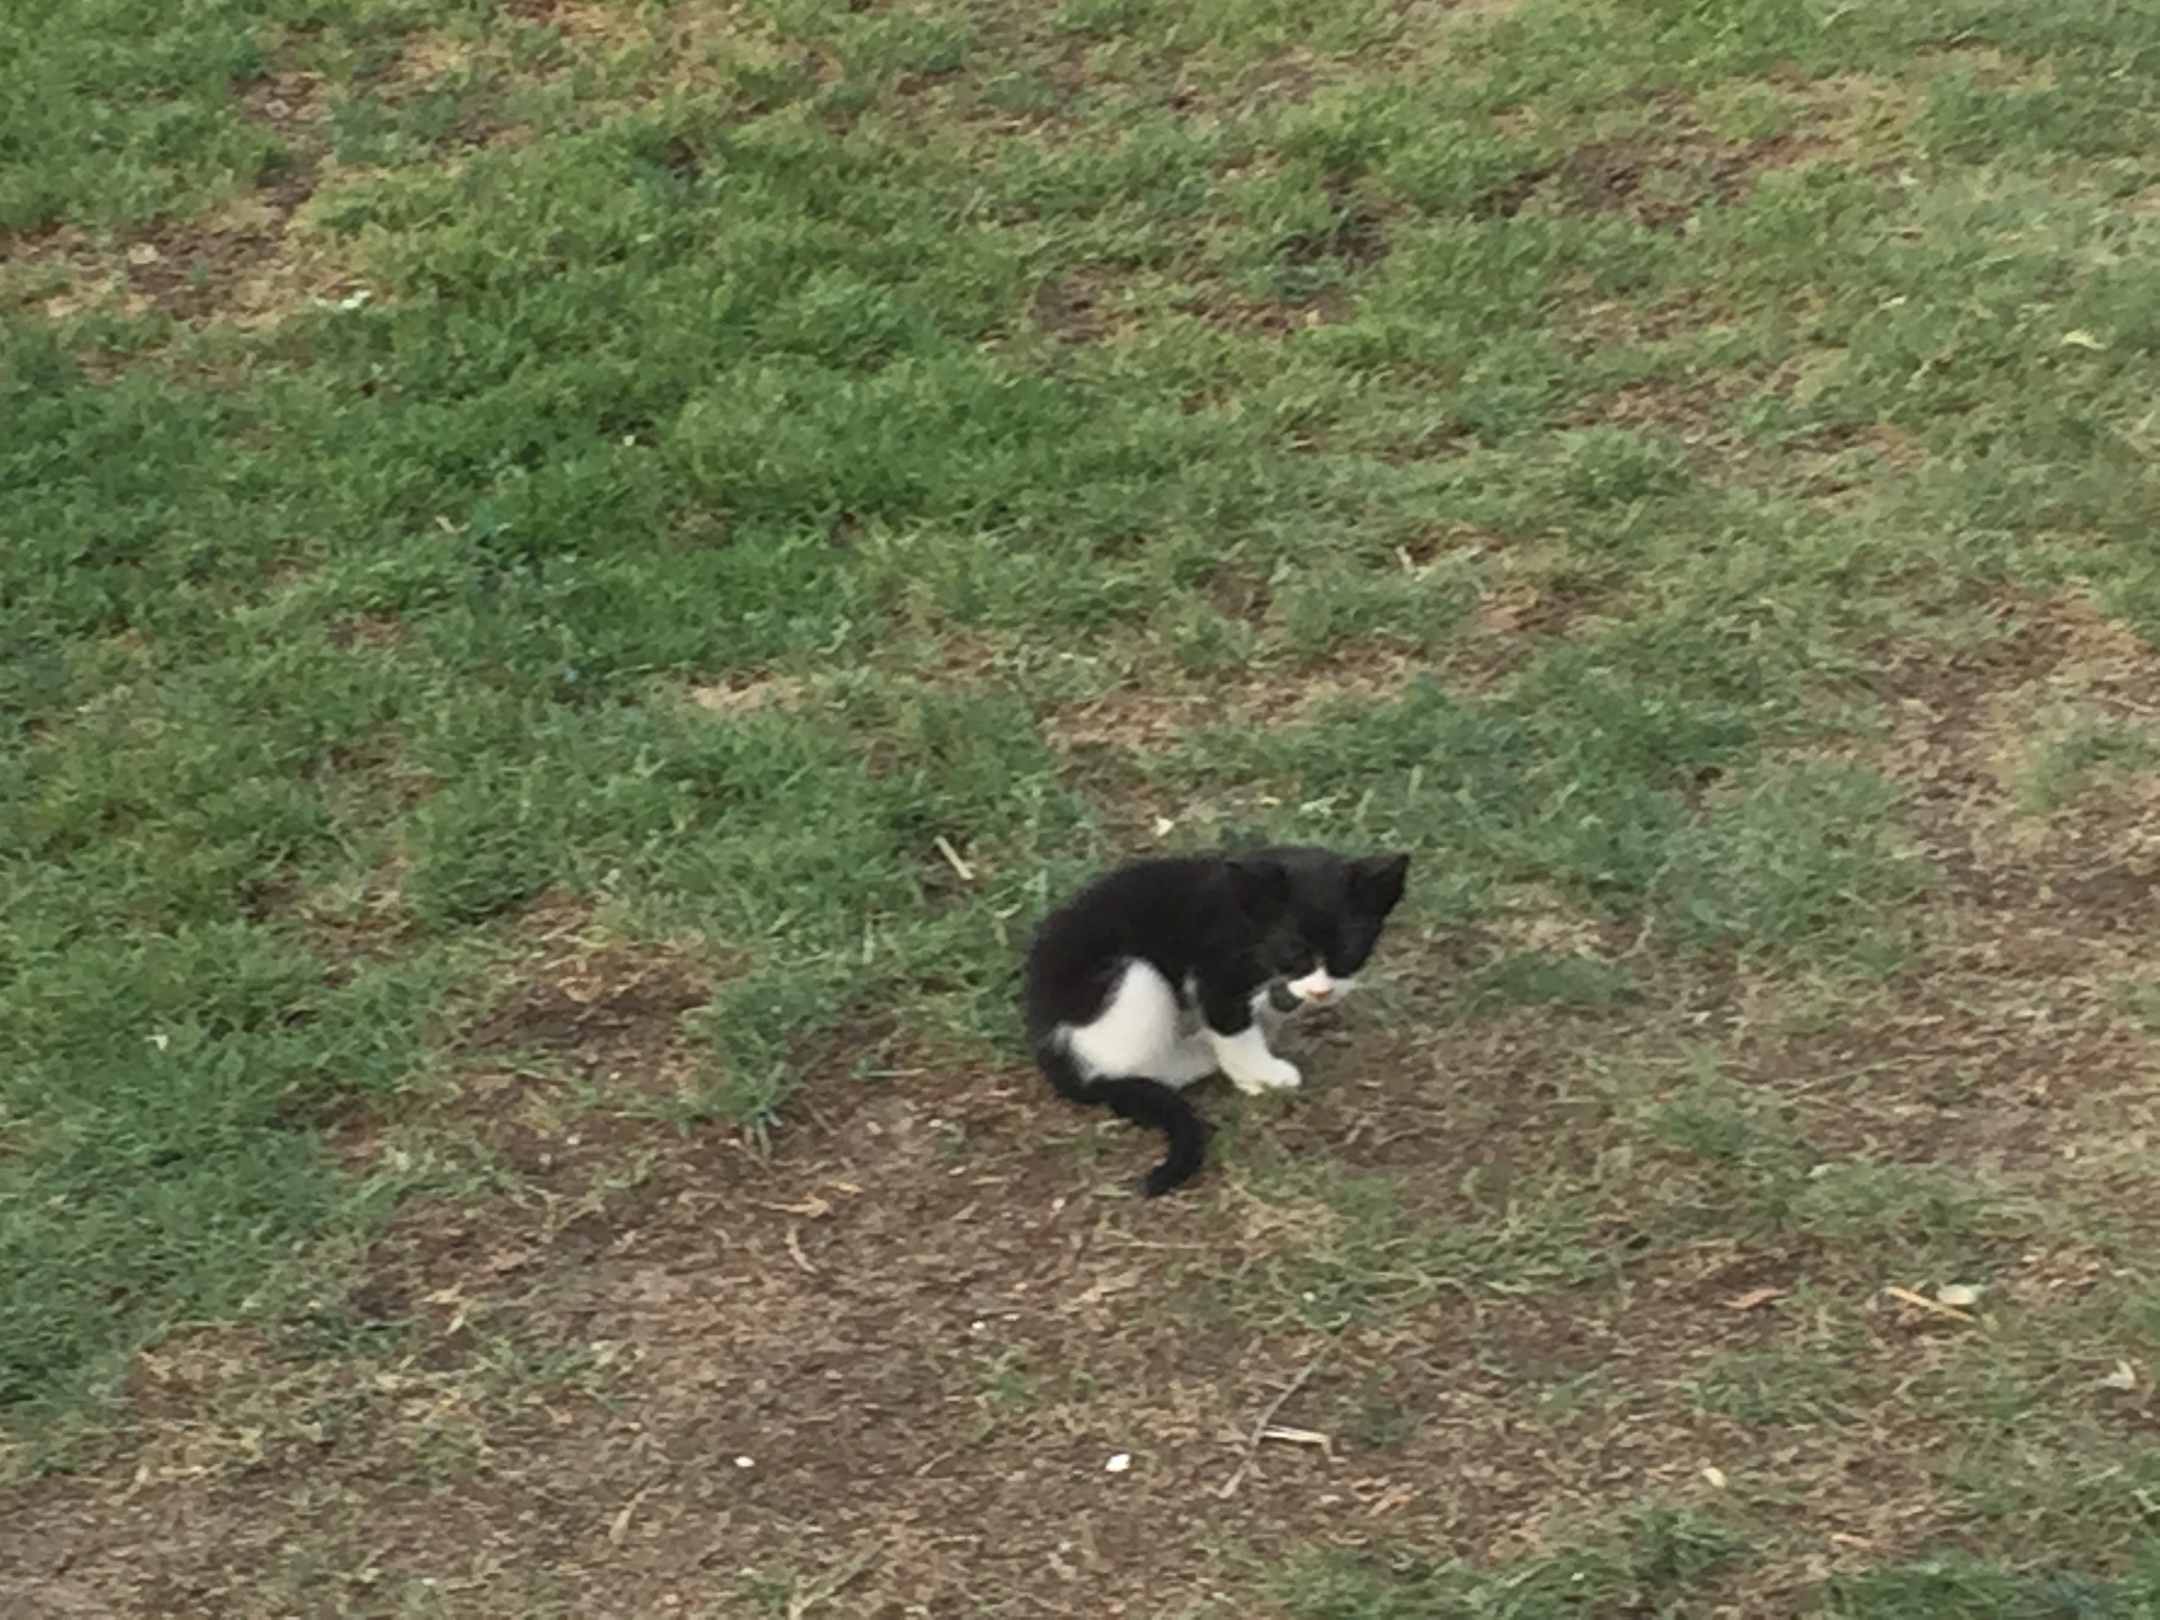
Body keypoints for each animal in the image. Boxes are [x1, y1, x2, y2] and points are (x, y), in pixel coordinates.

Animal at [1024, 845, 1410, 1197]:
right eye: (1294, 951)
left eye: (1348, 952)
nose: (1322, 991)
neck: (1249, 921)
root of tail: (1049, 1050)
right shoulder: (1216, 970)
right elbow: (1234, 1029)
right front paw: (1261, 1074)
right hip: (1133, 978)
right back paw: (1199, 1051)